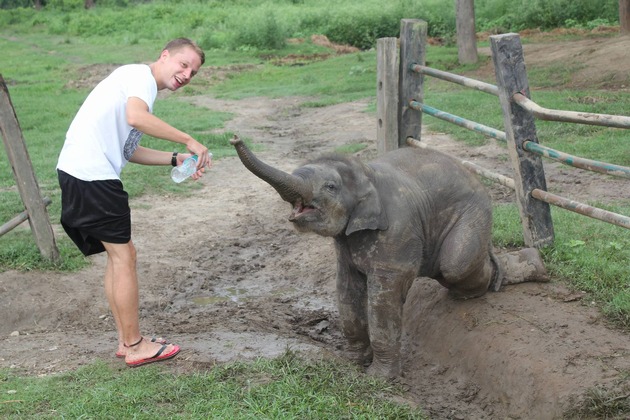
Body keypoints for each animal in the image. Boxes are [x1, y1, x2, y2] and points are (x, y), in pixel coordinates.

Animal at [230, 136, 544, 378]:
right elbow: (346, 290)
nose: (234, 138)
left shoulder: (397, 230)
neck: (366, 172)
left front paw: (379, 378)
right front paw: (352, 363)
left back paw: (525, 269)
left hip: (475, 211)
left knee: (456, 263)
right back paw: (530, 266)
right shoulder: (346, 242)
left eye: (330, 187)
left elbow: (384, 299)